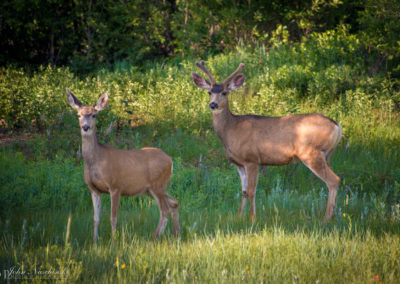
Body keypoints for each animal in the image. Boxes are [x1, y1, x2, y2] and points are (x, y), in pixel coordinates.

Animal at [67, 87, 180, 241]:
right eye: (78, 115)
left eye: (94, 115)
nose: (85, 127)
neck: (97, 160)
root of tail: (170, 160)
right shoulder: (94, 189)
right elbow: (96, 218)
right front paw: (95, 241)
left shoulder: (115, 186)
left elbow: (113, 217)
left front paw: (114, 242)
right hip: (151, 189)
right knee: (174, 203)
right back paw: (176, 236)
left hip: (158, 185)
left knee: (165, 210)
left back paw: (154, 238)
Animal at [192, 61, 342, 222]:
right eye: (209, 92)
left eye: (225, 92)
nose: (213, 104)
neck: (230, 130)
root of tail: (337, 126)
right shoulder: (239, 163)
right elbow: (244, 191)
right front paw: (238, 217)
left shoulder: (252, 159)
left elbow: (252, 190)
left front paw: (252, 219)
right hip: (327, 155)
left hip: (311, 153)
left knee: (334, 180)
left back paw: (326, 219)